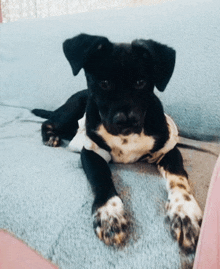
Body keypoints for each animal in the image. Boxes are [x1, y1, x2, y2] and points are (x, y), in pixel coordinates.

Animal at [31, 33, 202, 251]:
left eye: (140, 82)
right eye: (103, 83)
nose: (125, 121)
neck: (126, 138)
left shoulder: (168, 150)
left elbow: (178, 178)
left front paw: (184, 213)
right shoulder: (91, 150)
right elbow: (101, 177)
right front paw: (109, 214)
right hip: (71, 112)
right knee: (48, 121)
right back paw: (50, 137)